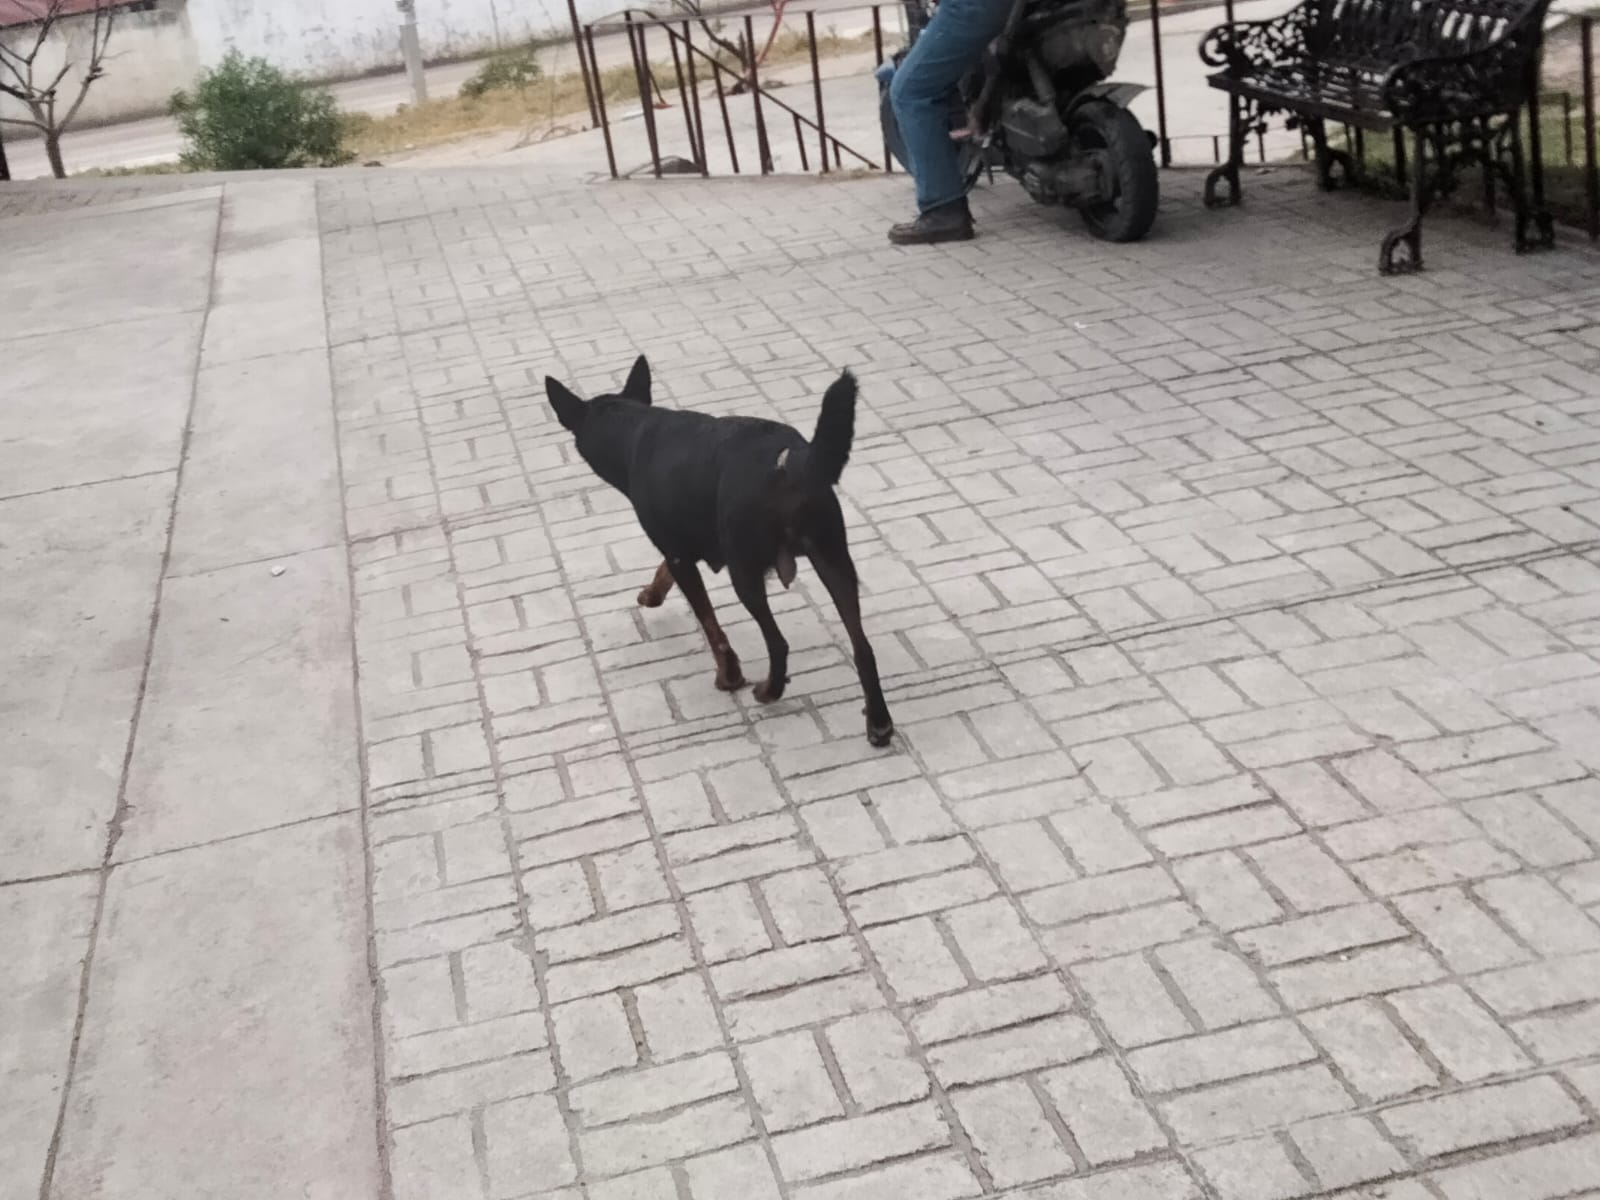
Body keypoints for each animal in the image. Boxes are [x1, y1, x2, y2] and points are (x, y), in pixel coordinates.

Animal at [544, 356, 894, 747]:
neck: (634, 429)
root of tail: (793, 463)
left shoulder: (680, 555)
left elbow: (710, 625)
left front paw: (729, 676)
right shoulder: (683, 544)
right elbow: (666, 571)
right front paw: (652, 593)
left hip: (746, 573)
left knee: (779, 643)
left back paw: (769, 690)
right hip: (834, 561)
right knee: (862, 647)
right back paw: (879, 721)